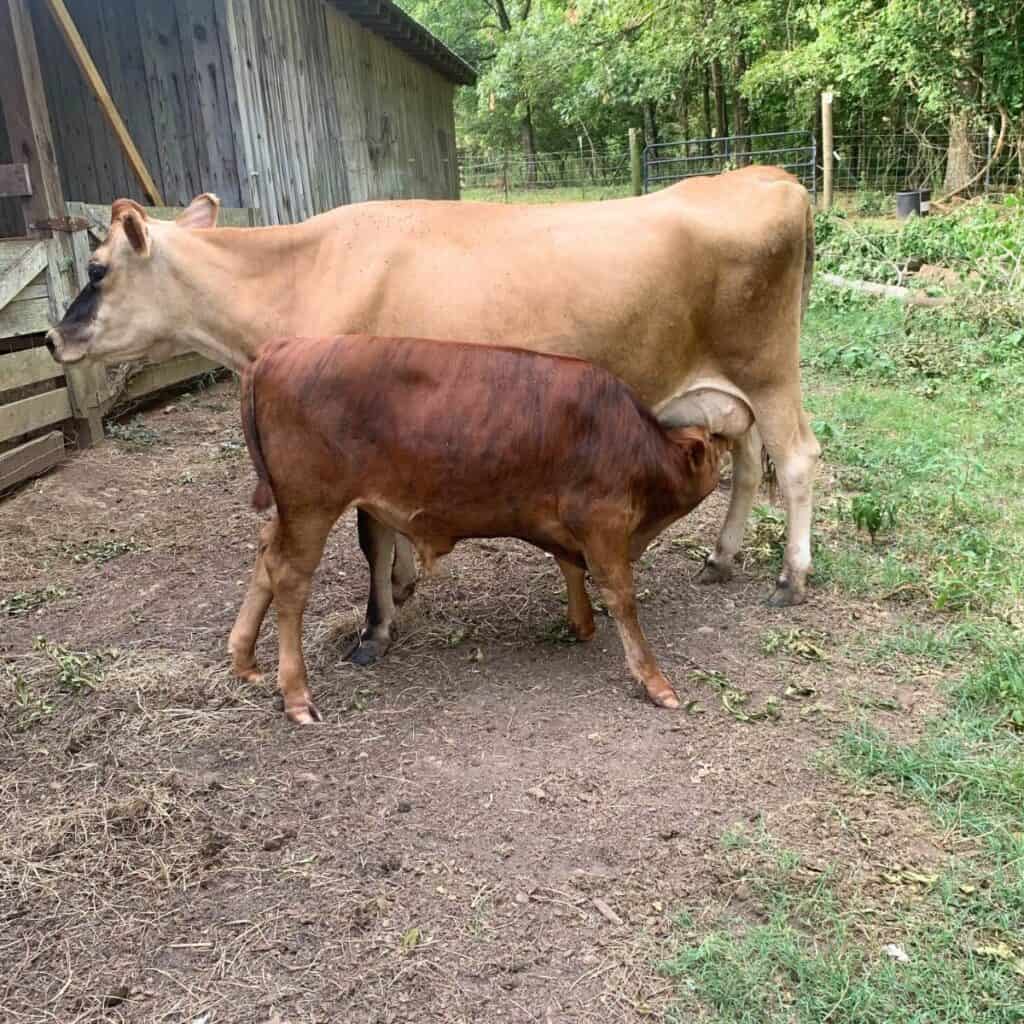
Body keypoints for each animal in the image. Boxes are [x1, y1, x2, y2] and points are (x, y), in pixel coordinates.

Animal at [44, 167, 819, 663]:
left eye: (97, 269)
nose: (52, 337)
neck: (300, 274)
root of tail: (767, 174)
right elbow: (384, 528)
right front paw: (401, 589)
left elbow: (370, 535)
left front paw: (376, 627)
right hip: (731, 389)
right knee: (747, 462)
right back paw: (722, 558)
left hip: (770, 368)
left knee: (798, 460)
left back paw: (791, 577)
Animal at [234, 333, 729, 720]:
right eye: (711, 445)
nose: (723, 448)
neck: (632, 440)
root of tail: (277, 350)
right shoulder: (601, 521)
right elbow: (621, 596)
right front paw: (654, 681)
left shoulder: (561, 521)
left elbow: (569, 566)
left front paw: (581, 622)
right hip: (310, 504)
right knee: (289, 576)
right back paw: (295, 694)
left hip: (291, 509)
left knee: (265, 552)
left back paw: (244, 659)